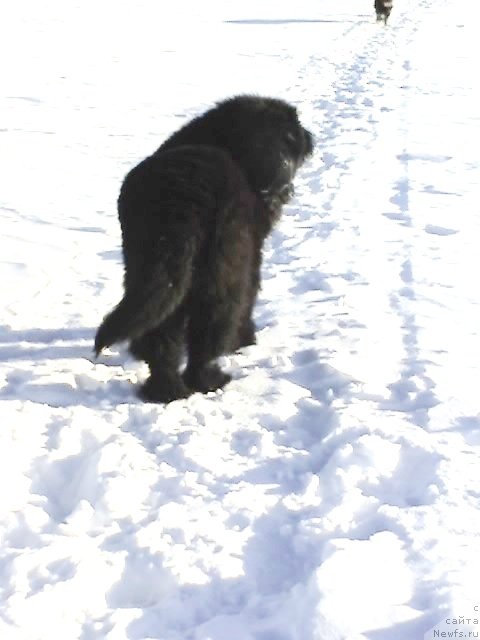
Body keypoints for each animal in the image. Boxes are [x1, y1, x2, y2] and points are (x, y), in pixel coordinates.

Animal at [94, 92, 314, 402]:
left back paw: (165, 390)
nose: (282, 171)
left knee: (160, 332)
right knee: (208, 333)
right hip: (222, 271)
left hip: (150, 265)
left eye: (288, 140)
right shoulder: (252, 252)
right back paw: (209, 379)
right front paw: (246, 339)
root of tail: (179, 199)